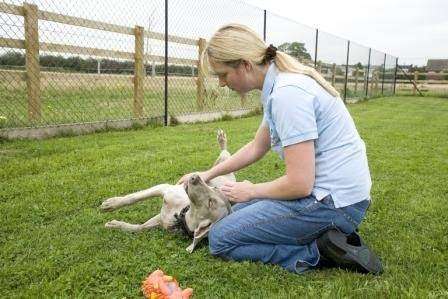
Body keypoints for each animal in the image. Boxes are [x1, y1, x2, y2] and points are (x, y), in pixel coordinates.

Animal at [100, 129, 236, 253]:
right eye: (214, 188)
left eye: (210, 202)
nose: (194, 177)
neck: (180, 214)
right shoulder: (164, 189)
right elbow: (134, 199)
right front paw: (112, 207)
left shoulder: (161, 218)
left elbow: (140, 227)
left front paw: (115, 223)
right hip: (219, 164)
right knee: (224, 154)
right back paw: (221, 139)